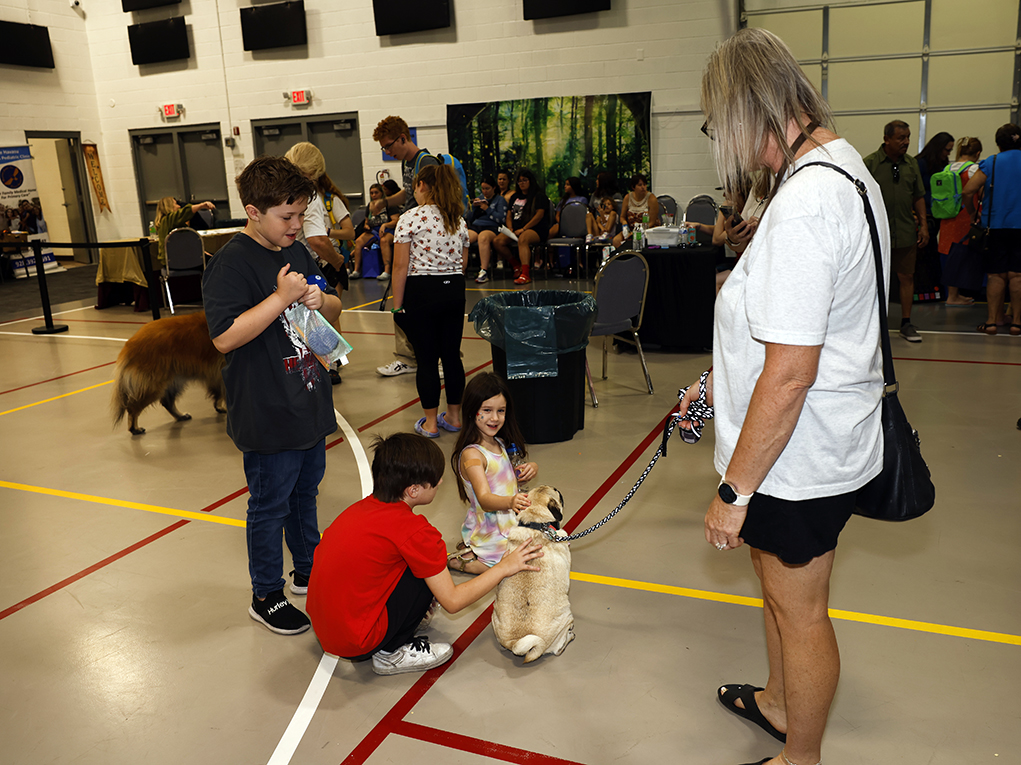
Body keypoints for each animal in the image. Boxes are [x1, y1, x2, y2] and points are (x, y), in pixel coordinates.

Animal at [492, 486, 575, 657]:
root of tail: (514, 642)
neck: (536, 524)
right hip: (565, 616)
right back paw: (569, 635)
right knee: (559, 648)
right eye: (556, 491)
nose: (558, 489)